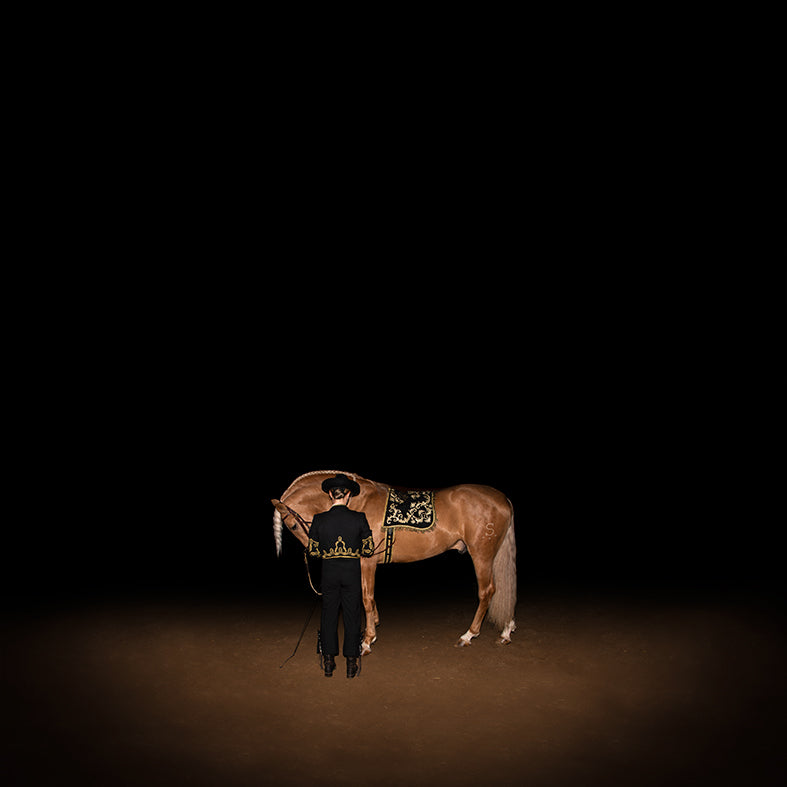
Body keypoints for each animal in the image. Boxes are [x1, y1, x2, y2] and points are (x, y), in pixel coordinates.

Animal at [271, 470, 516, 653]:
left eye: (292, 525)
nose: (315, 554)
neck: (358, 503)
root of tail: (503, 499)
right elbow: (367, 598)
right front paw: (372, 627)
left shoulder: (367, 562)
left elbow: (366, 598)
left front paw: (367, 641)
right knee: (504, 588)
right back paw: (506, 630)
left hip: (481, 555)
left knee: (487, 591)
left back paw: (469, 635)